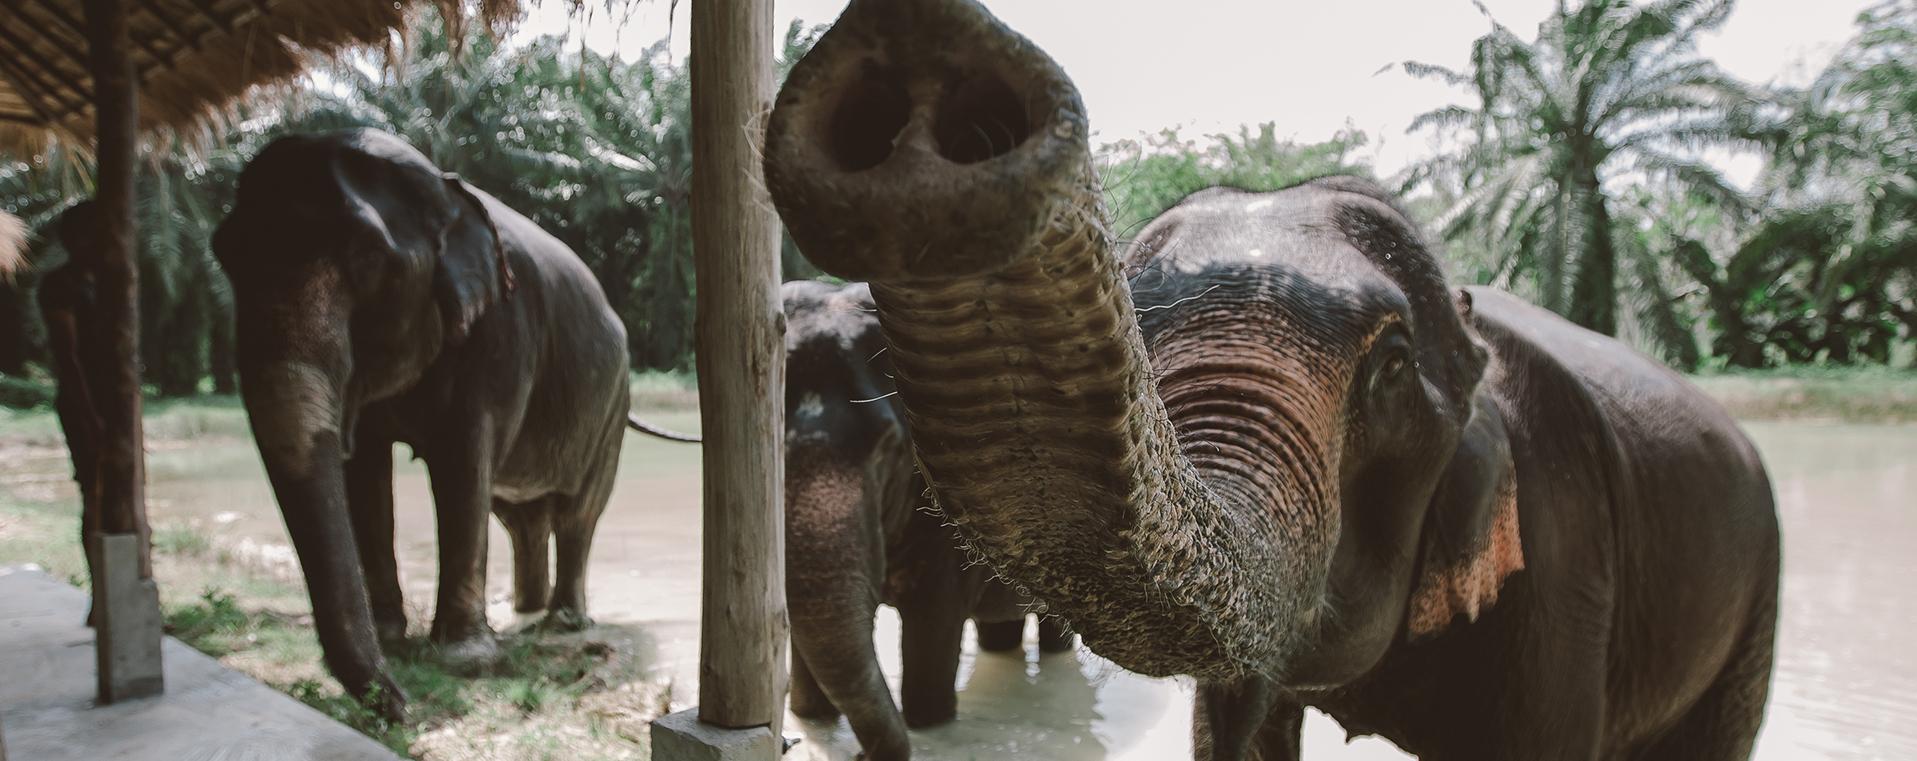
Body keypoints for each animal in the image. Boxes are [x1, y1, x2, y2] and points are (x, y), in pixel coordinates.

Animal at [212, 128, 692, 719]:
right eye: (224, 255)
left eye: (369, 258)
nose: (401, 704)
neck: (441, 189)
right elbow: (366, 471)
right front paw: (394, 639)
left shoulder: (503, 332)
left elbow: (461, 461)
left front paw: (463, 660)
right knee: (520, 517)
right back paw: (520, 611)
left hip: (611, 404)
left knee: (578, 510)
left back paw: (564, 622)